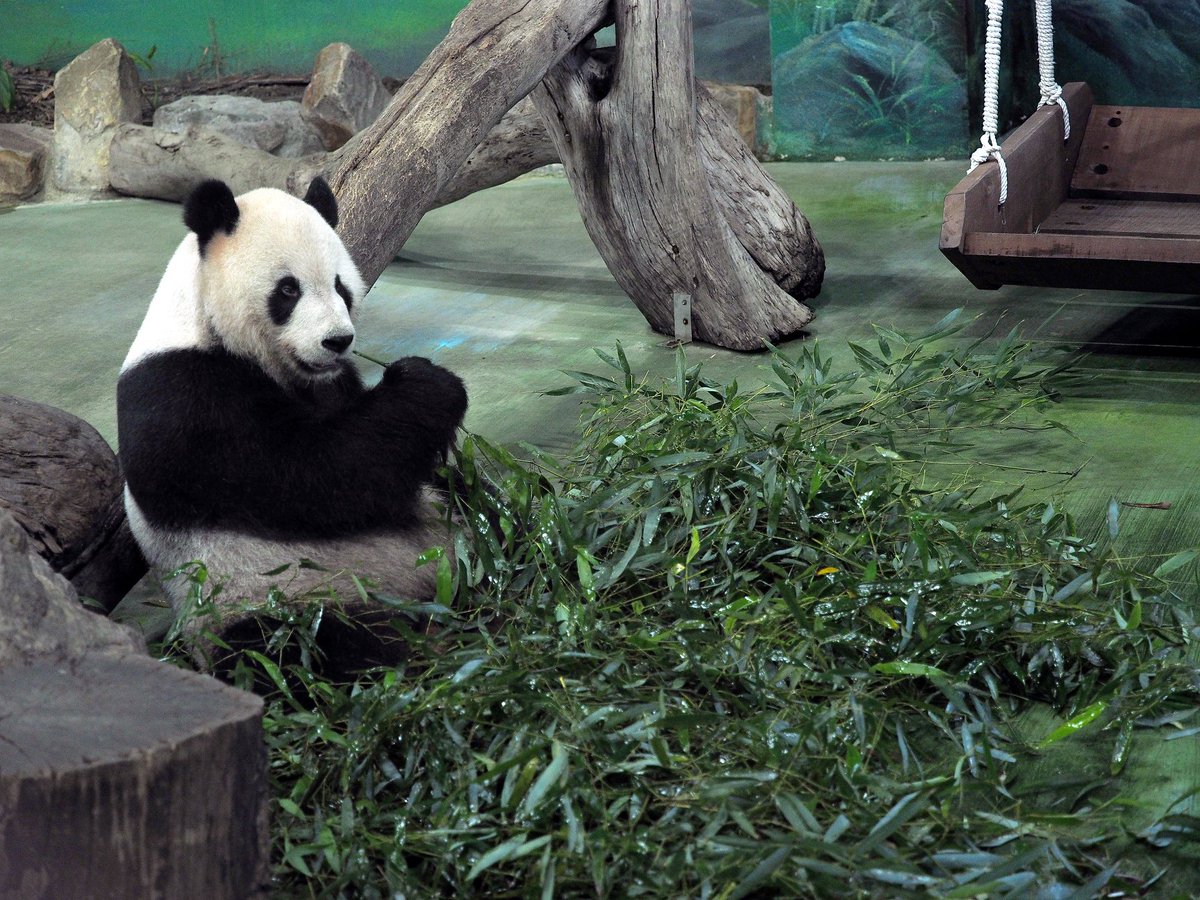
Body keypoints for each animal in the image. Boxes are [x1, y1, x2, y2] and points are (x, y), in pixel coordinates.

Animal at [115, 177, 463, 662]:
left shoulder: (331, 384)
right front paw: (427, 384)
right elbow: (314, 476)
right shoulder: (181, 397)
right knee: (305, 649)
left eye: (341, 286)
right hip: (272, 601)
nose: (337, 341)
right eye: (288, 290)